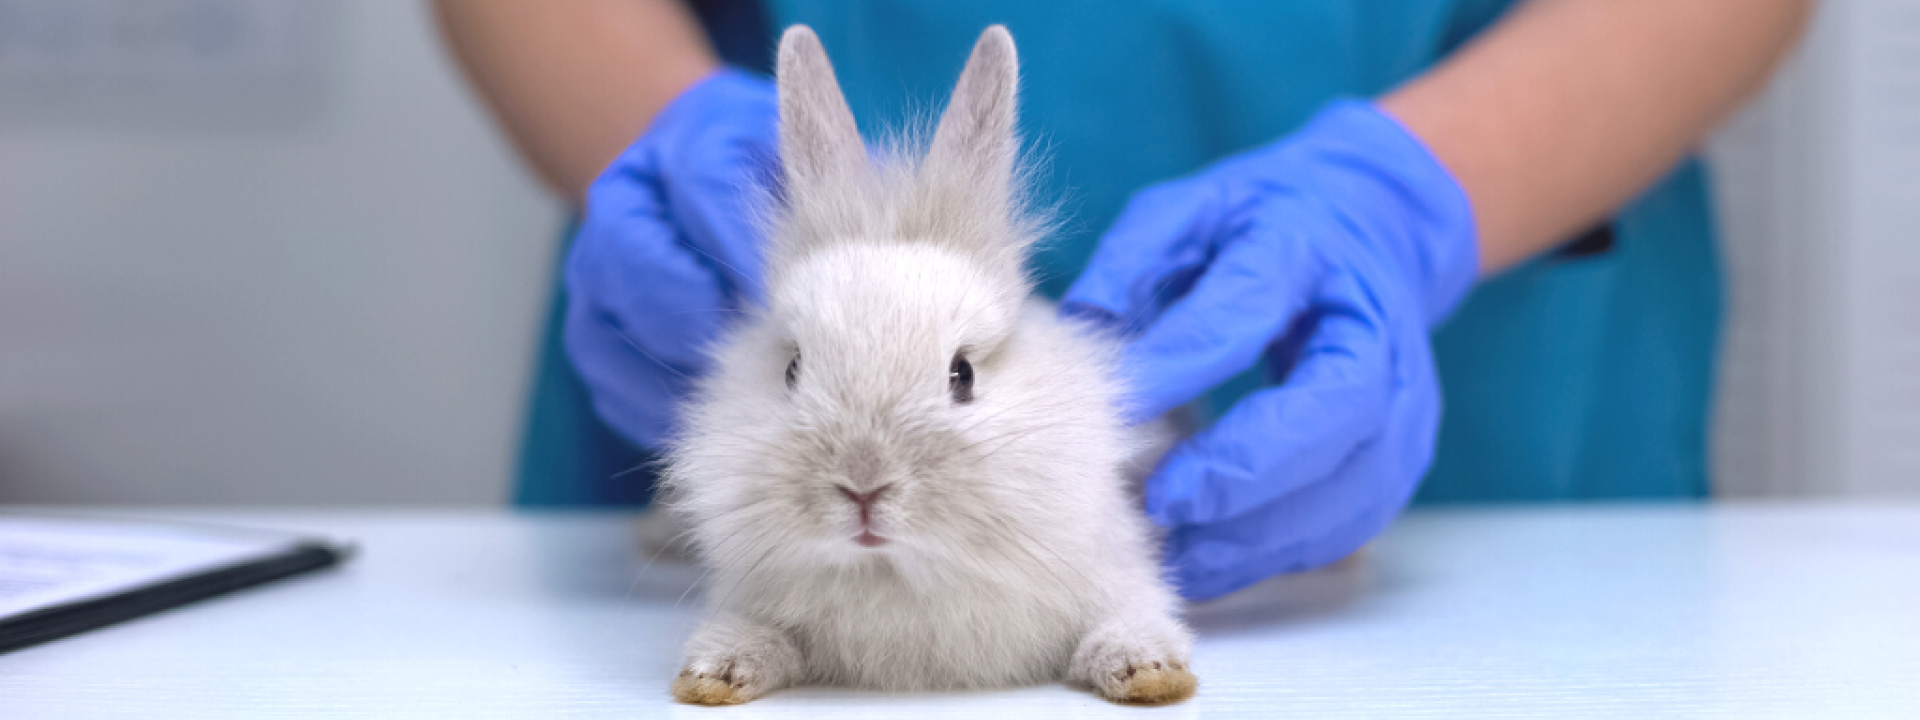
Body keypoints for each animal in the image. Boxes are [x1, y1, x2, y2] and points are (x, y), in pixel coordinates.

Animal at [664, 25, 1198, 706]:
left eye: (962, 374)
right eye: (791, 371)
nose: (863, 486)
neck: (898, 577)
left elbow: (1127, 619)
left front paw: (1149, 672)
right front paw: (715, 674)